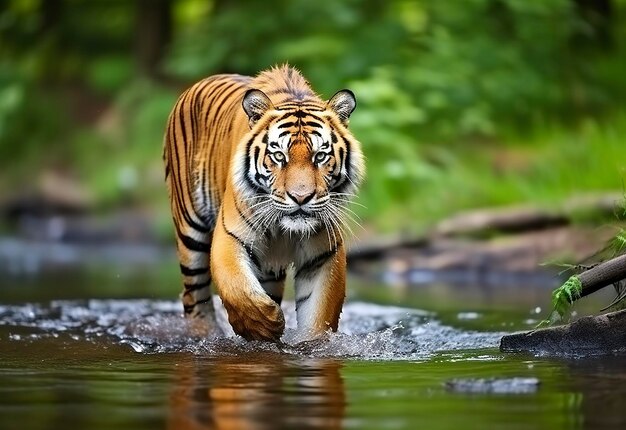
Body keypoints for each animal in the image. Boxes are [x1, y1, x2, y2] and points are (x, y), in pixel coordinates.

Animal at [163, 63, 364, 340]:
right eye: (279, 156)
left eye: (320, 156)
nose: (301, 197)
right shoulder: (229, 236)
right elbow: (238, 287)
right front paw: (263, 324)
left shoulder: (323, 256)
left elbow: (317, 316)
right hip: (190, 232)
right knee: (195, 297)